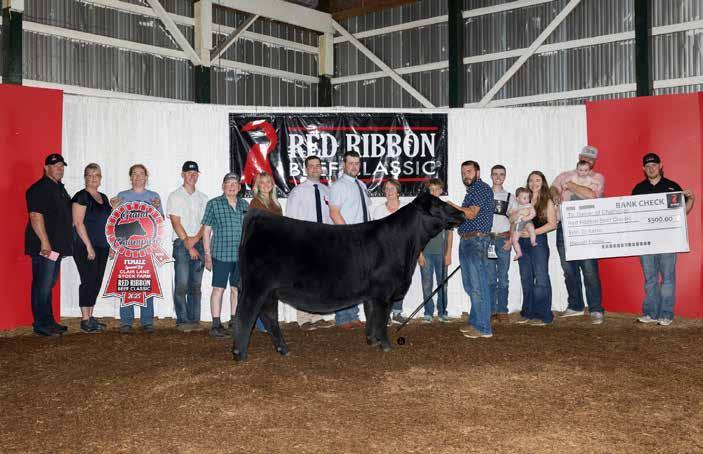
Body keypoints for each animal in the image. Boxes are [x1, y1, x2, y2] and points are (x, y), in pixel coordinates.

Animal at [231, 191, 466, 361]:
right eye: (438, 204)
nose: (461, 214)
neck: (404, 245)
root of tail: (259, 217)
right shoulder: (384, 292)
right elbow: (381, 319)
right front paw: (386, 346)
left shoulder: (372, 294)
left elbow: (371, 316)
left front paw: (372, 341)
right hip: (255, 287)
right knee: (245, 315)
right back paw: (240, 354)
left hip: (270, 291)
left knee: (269, 316)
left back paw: (283, 350)